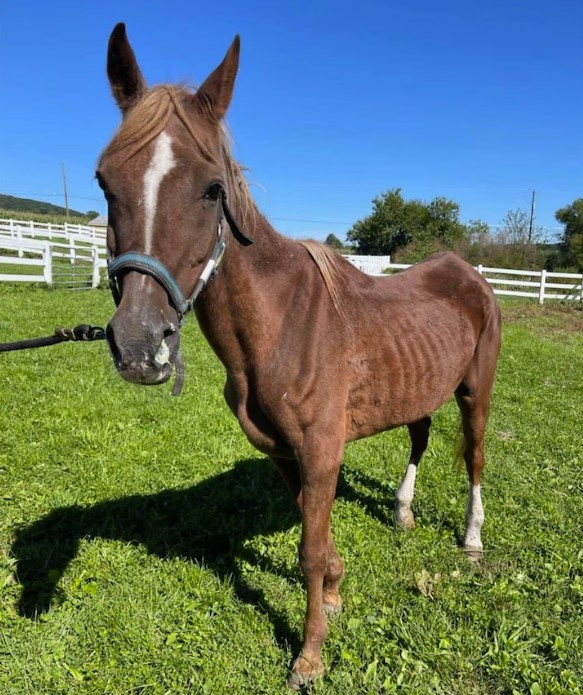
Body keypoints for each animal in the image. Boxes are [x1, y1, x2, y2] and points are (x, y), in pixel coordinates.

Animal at [99, 21, 502, 692]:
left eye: (213, 189)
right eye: (104, 182)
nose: (138, 344)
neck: (280, 325)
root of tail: (469, 274)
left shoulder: (319, 450)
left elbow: (308, 549)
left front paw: (310, 654)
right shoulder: (285, 451)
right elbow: (316, 532)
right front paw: (335, 591)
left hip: (476, 390)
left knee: (472, 454)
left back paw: (471, 539)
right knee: (419, 436)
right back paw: (401, 512)